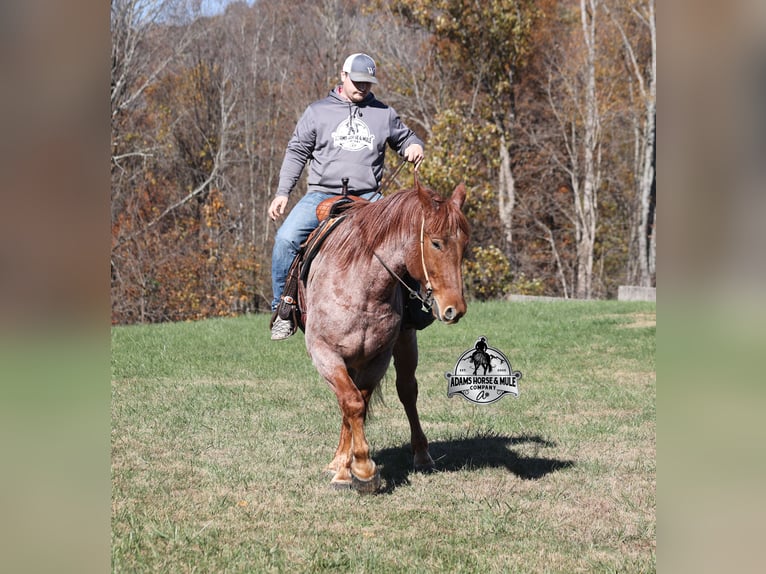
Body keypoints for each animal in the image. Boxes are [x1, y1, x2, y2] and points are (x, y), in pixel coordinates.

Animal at [299, 176, 470, 493]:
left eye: (464, 245)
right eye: (436, 243)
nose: (455, 309)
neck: (361, 286)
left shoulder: (378, 356)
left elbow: (360, 403)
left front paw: (358, 467)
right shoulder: (325, 353)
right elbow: (352, 403)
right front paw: (354, 469)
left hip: (405, 343)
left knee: (407, 391)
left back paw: (421, 455)